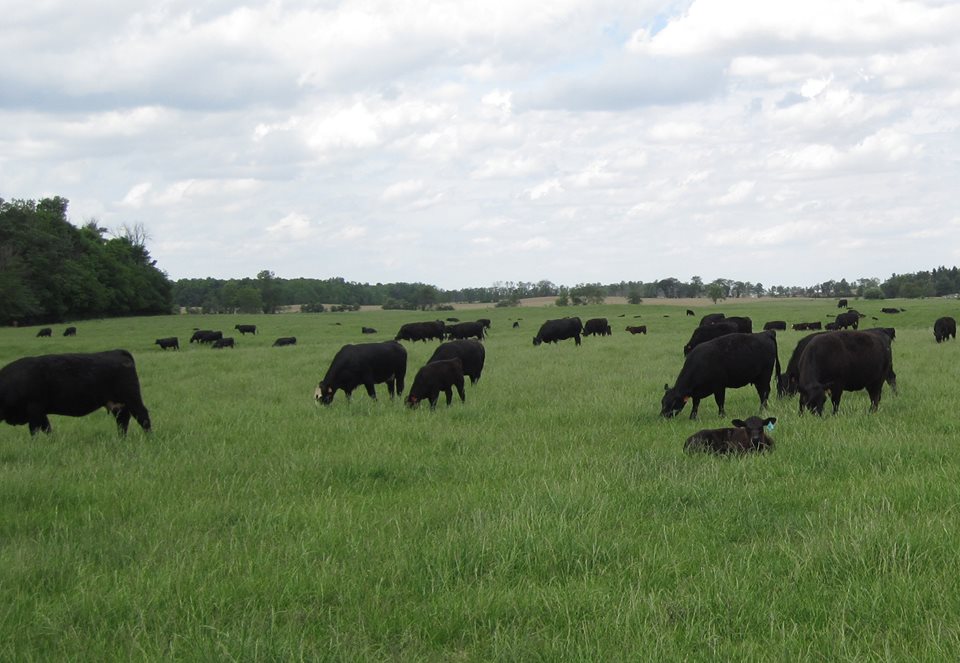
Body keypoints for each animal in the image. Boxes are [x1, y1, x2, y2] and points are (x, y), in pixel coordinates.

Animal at [0, 349, 151, 435]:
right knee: (123, 420)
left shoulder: (34, 409)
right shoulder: (40, 412)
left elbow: (35, 430)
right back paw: (121, 439)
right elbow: (47, 429)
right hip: (117, 403)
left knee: (142, 416)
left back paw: (149, 437)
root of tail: (118, 352)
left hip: (131, 397)